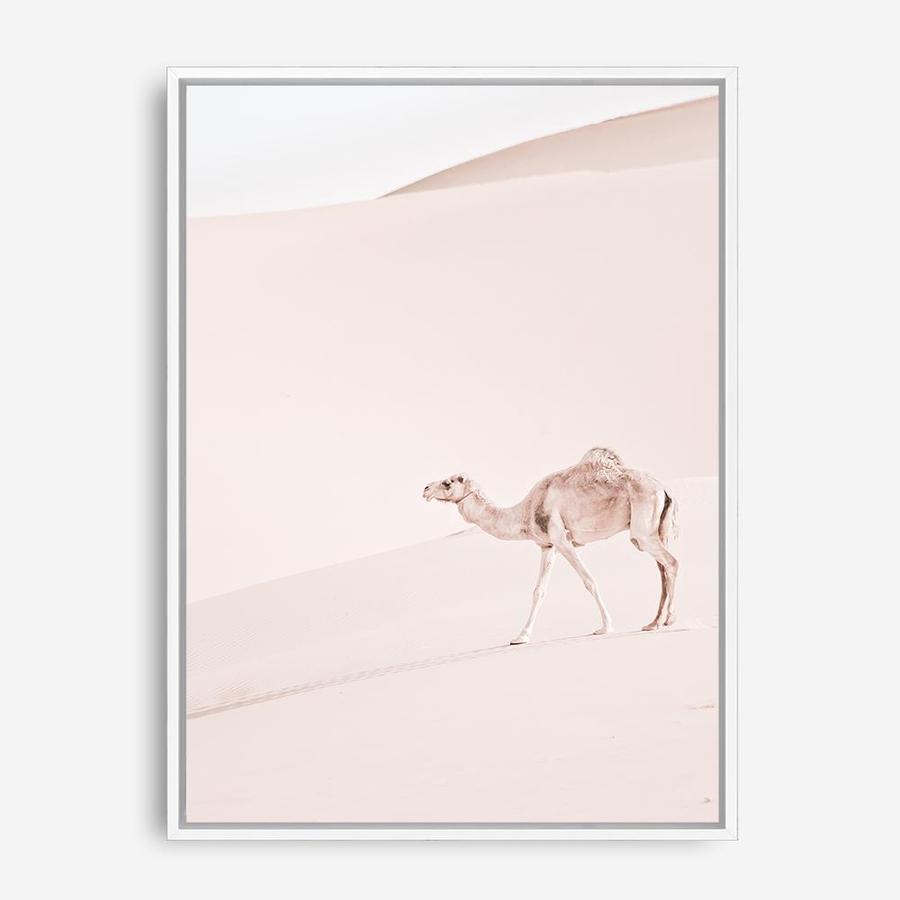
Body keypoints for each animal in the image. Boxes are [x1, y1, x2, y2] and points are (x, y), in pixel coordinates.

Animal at [422, 448, 679, 645]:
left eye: (447, 483)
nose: (425, 488)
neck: (524, 512)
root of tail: (663, 488)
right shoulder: (547, 545)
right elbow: (539, 591)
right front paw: (521, 637)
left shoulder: (561, 538)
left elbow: (589, 581)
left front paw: (605, 626)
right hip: (655, 530)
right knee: (663, 568)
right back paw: (653, 623)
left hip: (643, 529)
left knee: (671, 562)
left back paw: (669, 619)